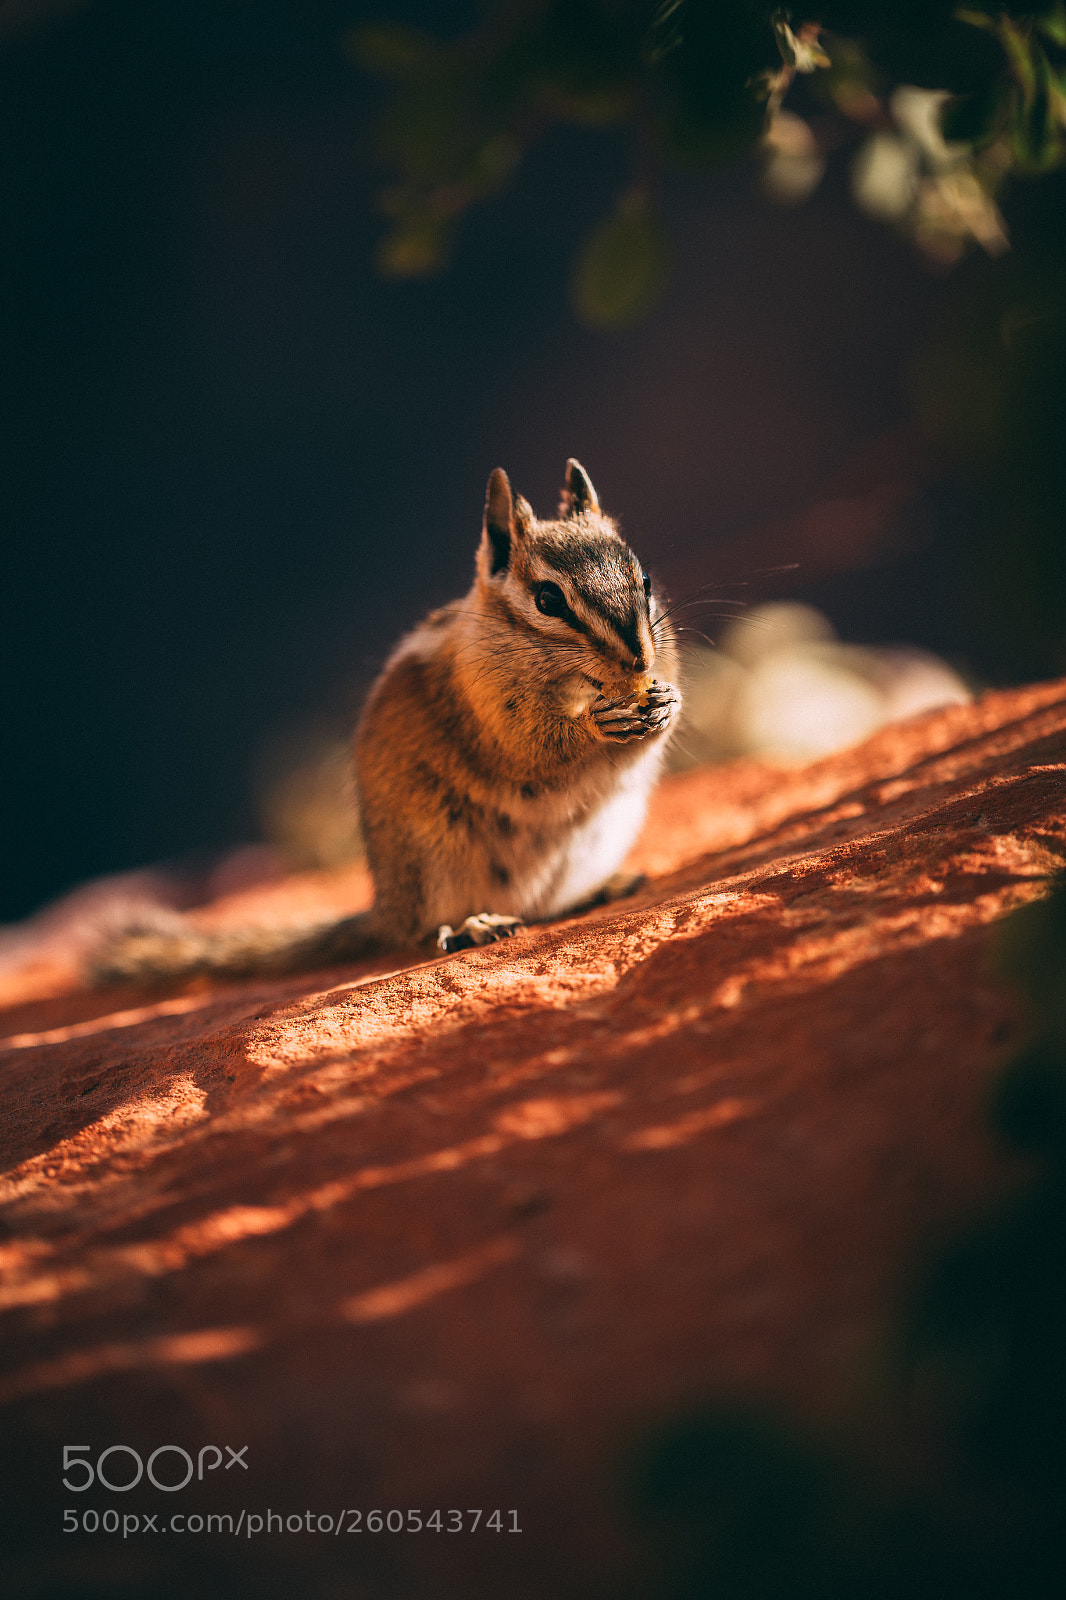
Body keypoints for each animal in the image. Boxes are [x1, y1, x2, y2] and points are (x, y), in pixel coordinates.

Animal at [91, 459, 681, 984]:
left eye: (646, 578)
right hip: (435, 857)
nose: (638, 661)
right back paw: (471, 925)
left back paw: (601, 889)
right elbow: (531, 749)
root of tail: (385, 908)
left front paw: (666, 701)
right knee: (425, 933)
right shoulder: (486, 711)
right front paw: (597, 725)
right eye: (548, 598)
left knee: (545, 909)